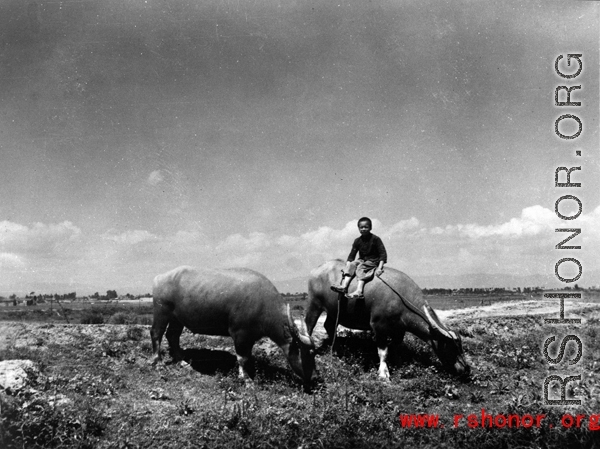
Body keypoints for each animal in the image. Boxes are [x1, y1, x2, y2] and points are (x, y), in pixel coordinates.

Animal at [152, 266, 316, 388]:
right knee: (156, 333)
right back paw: (158, 362)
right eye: (309, 353)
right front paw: (247, 380)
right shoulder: (240, 334)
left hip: (177, 319)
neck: (263, 303)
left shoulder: (250, 337)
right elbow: (242, 358)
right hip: (161, 313)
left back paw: (182, 361)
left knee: (172, 336)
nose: (313, 376)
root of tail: (160, 277)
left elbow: (247, 356)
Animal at [304, 260, 468, 378]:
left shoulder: (400, 330)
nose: (466, 369)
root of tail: (316, 269)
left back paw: (337, 349)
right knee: (308, 325)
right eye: (450, 346)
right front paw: (384, 373)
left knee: (329, 326)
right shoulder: (378, 326)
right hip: (314, 304)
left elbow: (395, 346)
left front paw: (398, 363)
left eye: (460, 346)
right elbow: (383, 351)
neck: (402, 298)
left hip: (333, 311)